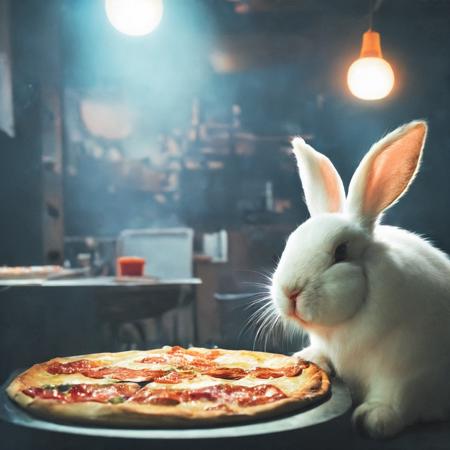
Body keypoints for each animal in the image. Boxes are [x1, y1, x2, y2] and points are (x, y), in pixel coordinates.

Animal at [268, 121, 450, 438]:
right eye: (291, 241)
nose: (290, 292)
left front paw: (374, 418)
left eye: (341, 251)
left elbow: (398, 397)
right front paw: (310, 358)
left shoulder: (409, 370)